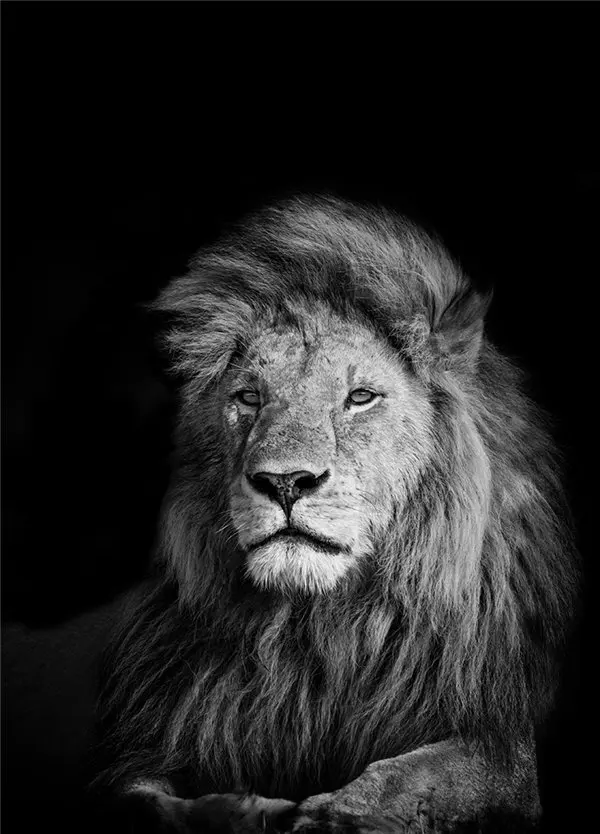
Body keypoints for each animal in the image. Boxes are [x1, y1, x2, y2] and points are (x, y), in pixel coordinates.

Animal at [5, 195, 578, 833]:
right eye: (249, 397)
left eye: (360, 397)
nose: (284, 482)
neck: (317, 631)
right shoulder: (141, 747)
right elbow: (144, 803)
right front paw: (245, 811)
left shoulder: (502, 743)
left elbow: (416, 775)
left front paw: (336, 815)